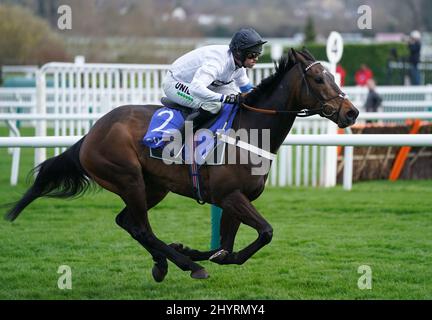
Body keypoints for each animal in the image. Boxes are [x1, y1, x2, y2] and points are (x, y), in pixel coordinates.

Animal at [5, 48, 360, 282]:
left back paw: (165, 262)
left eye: (333, 75)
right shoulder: (230, 196)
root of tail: (90, 133)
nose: (352, 112)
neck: (250, 129)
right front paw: (198, 256)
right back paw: (185, 266)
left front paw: (198, 251)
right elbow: (265, 233)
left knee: (127, 222)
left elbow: (226, 246)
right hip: (128, 178)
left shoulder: (234, 200)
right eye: (319, 78)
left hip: (153, 186)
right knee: (142, 228)